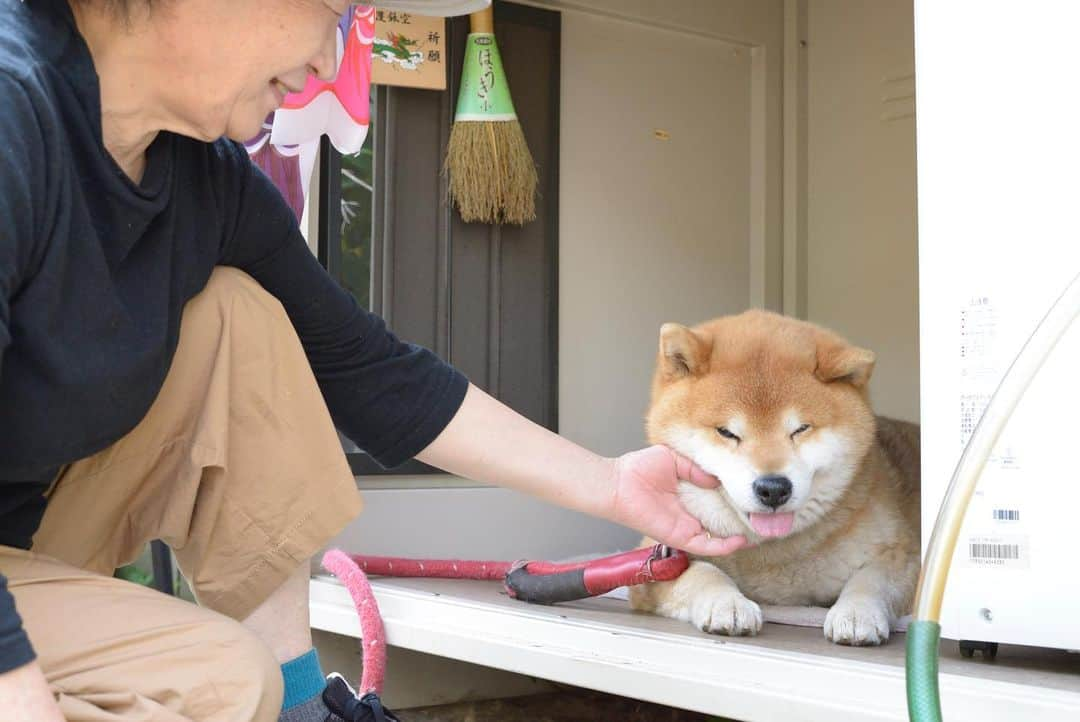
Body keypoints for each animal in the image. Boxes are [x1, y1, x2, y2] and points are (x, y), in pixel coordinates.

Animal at [630, 306, 920, 643]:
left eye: (801, 429)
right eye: (726, 432)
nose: (773, 488)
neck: (770, 552)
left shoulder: (904, 554)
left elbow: (871, 580)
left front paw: (857, 612)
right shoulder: (651, 566)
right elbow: (703, 573)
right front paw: (726, 603)